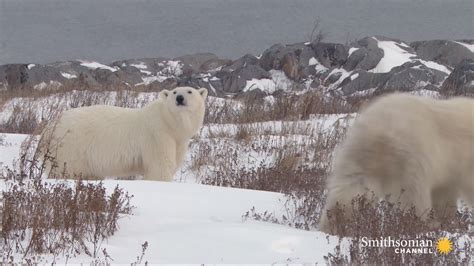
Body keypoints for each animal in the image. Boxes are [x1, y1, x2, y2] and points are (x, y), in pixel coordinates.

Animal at [38, 86, 206, 180]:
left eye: (190, 91)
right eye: (174, 92)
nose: (180, 98)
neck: (170, 123)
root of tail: (50, 127)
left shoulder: (179, 140)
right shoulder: (157, 135)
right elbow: (160, 166)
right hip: (72, 145)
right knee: (66, 169)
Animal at [318, 93, 474, 235]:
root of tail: (379, 134)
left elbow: (444, 193)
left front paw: (448, 220)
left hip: (356, 156)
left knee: (349, 189)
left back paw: (334, 225)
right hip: (410, 160)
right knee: (414, 197)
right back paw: (426, 225)